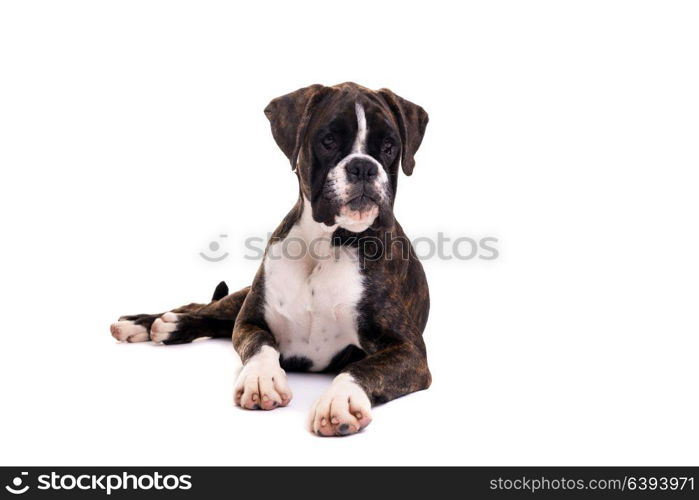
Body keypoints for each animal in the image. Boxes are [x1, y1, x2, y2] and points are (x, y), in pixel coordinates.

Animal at [110, 84, 432, 436]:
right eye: (328, 140)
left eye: (389, 147)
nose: (363, 166)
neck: (325, 244)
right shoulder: (250, 321)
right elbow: (261, 345)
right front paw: (261, 378)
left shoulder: (409, 351)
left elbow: (362, 367)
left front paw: (340, 400)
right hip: (240, 298)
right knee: (203, 308)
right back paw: (147, 324)